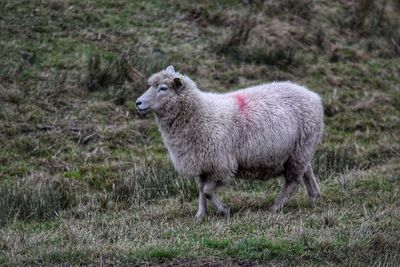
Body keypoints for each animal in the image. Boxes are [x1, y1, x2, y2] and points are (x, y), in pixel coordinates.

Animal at [136, 65, 324, 220]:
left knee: (292, 182)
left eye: (163, 88)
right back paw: (315, 197)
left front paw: (225, 210)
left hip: (301, 150)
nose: (138, 103)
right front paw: (200, 214)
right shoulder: (201, 162)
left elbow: (207, 191)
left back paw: (276, 207)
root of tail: (313, 95)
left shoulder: (221, 165)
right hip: (299, 150)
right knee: (307, 171)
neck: (200, 114)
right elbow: (200, 190)